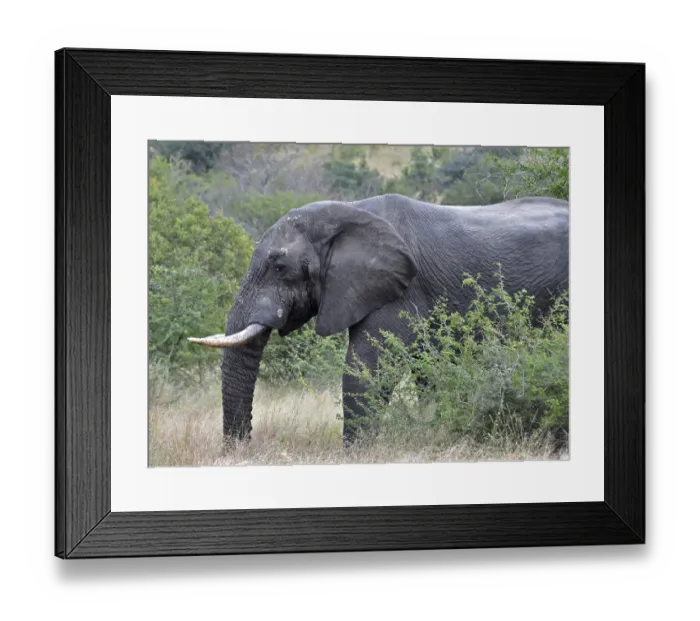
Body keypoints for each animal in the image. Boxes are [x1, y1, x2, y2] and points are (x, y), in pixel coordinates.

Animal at [189, 193, 569, 446]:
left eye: (280, 267)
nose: (241, 450)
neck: (347, 212)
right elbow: (425, 375)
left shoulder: (402, 288)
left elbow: (366, 369)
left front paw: (355, 455)